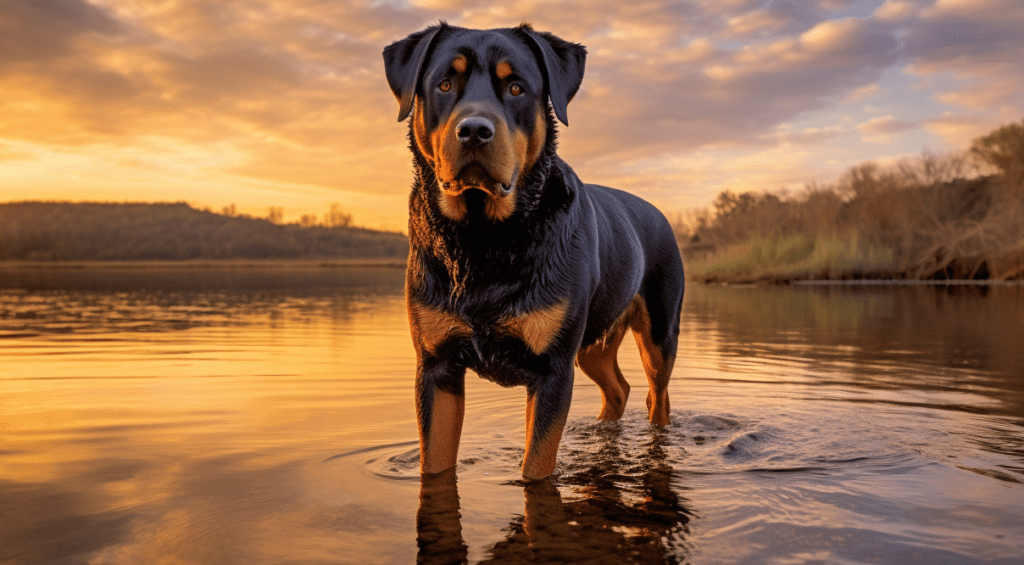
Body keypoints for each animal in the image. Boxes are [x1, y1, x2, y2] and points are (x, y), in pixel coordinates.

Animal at [380, 23, 684, 481]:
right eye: (444, 84)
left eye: (517, 87)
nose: (474, 130)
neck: (482, 240)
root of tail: (659, 212)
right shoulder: (436, 367)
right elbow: (434, 462)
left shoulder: (552, 370)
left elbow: (536, 465)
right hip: (592, 345)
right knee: (618, 388)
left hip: (658, 334)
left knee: (657, 397)